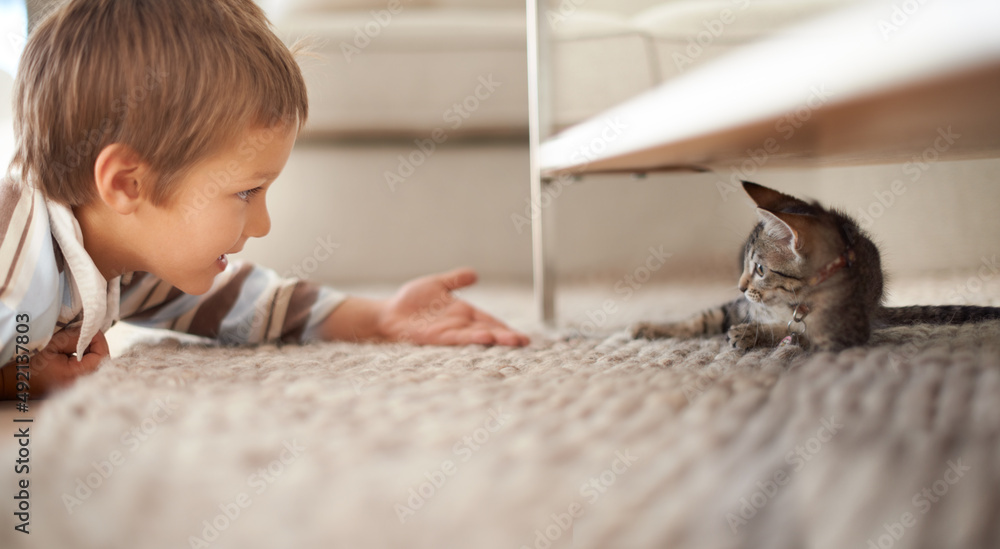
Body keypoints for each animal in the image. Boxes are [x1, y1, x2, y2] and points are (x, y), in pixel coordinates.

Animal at [632, 181, 1000, 352]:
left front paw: (752, 333)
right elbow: (701, 318)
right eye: (744, 264)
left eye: (760, 269)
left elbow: (794, 332)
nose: (740, 285)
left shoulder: (839, 334)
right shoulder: (739, 305)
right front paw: (652, 327)